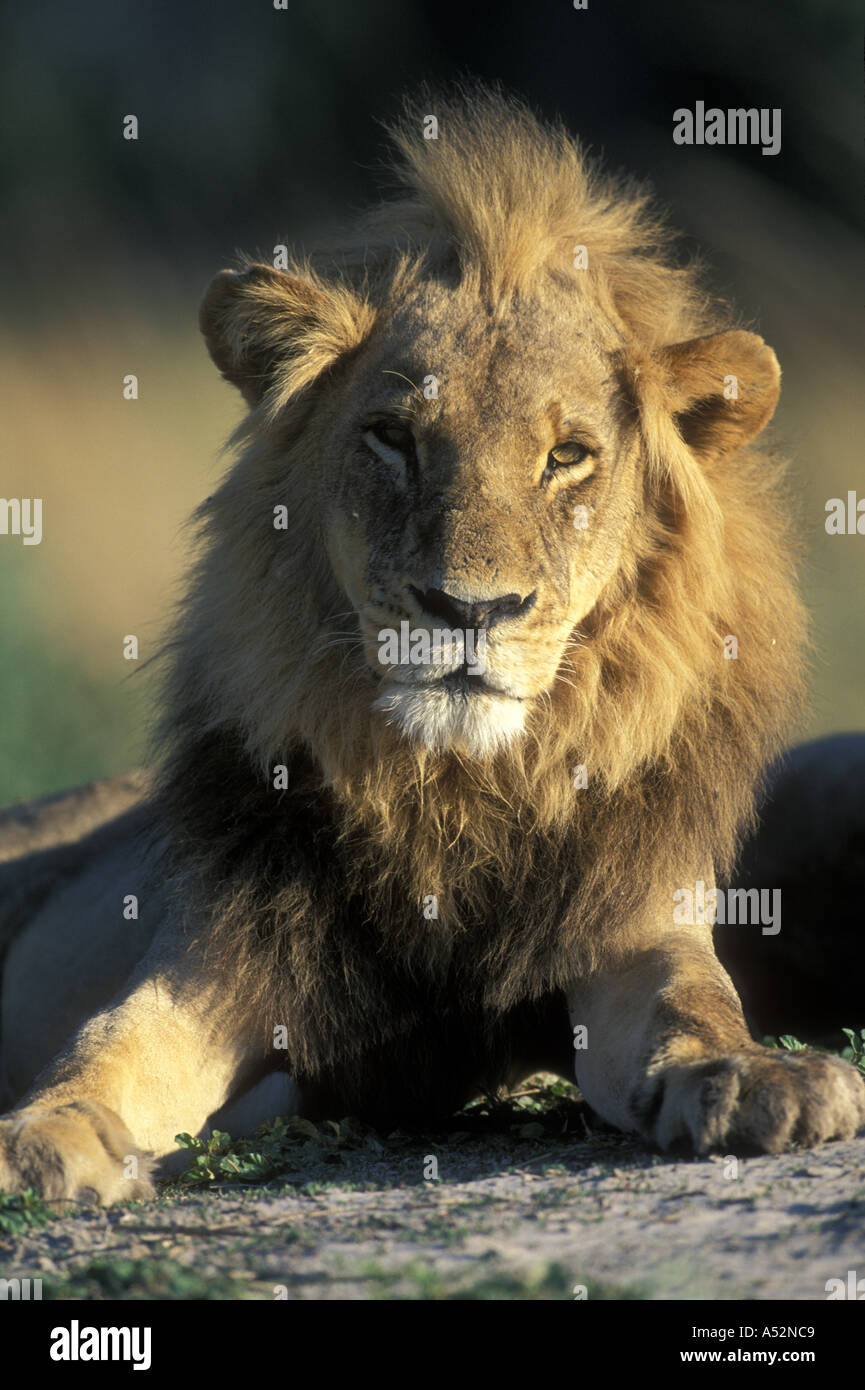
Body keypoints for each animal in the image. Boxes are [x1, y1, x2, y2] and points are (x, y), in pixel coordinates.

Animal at [0, 88, 862, 1204]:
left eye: (566, 456)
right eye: (393, 439)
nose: (466, 608)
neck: (452, 789)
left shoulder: (629, 924)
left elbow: (690, 1000)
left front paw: (756, 1078)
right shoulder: (217, 954)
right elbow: (109, 1042)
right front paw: (40, 1131)